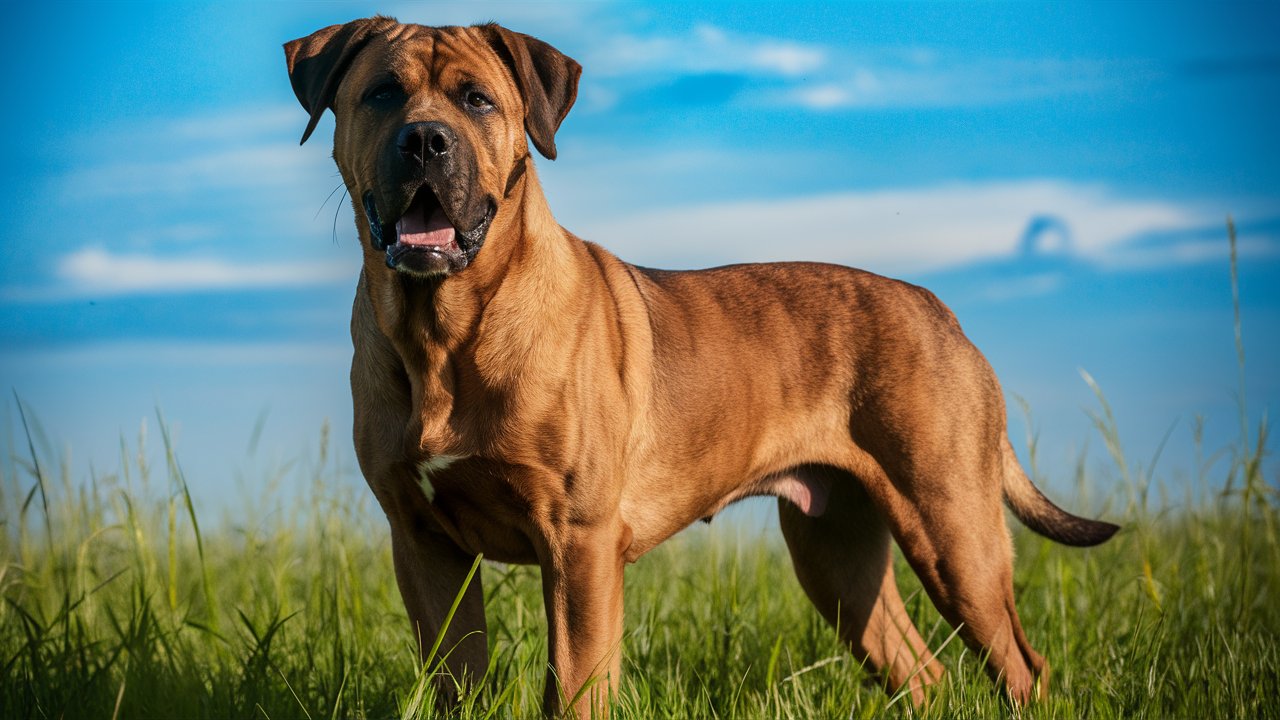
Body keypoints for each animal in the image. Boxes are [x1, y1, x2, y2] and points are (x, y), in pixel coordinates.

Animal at [285, 15, 1116, 712]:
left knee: (1022, 666)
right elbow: (457, 681)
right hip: (839, 553)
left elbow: (576, 687)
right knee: (922, 671)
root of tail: (941, 311)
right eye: (383, 94)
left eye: (477, 100)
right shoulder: (426, 544)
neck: (445, 331)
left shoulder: (578, 543)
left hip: (953, 530)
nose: (426, 140)